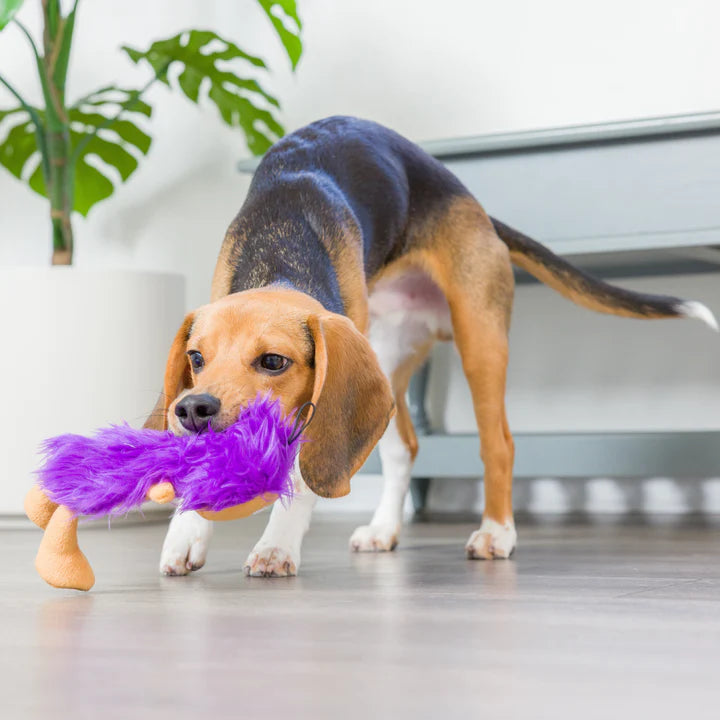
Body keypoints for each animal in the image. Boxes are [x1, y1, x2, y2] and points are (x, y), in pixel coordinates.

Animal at [145, 115, 716, 576]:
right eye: (196, 358)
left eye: (272, 361)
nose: (193, 409)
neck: (280, 254)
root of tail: (473, 205)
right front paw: (187, 532)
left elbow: (305, 479)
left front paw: (277, 546)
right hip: (383, 355)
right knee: (405, 447)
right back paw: (384, 529)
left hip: (480, 341)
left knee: (499, 444)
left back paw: (496, 532)